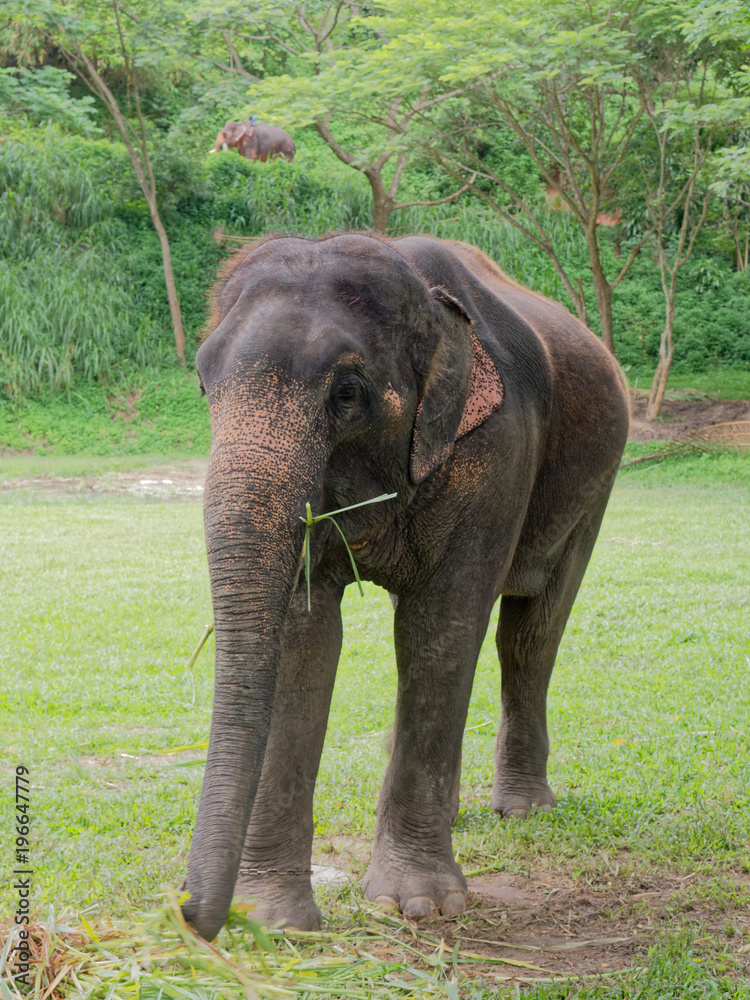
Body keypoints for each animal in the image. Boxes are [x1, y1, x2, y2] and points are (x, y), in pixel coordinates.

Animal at [182, 232, 629, 941]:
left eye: (347, 393)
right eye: (204, 384)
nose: (189, 917)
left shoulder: (496, 453)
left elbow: (439, 630)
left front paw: (418, 907)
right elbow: (304, 638)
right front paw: (276, 922)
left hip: (598, 482)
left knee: (529, 634)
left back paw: (524, 809)